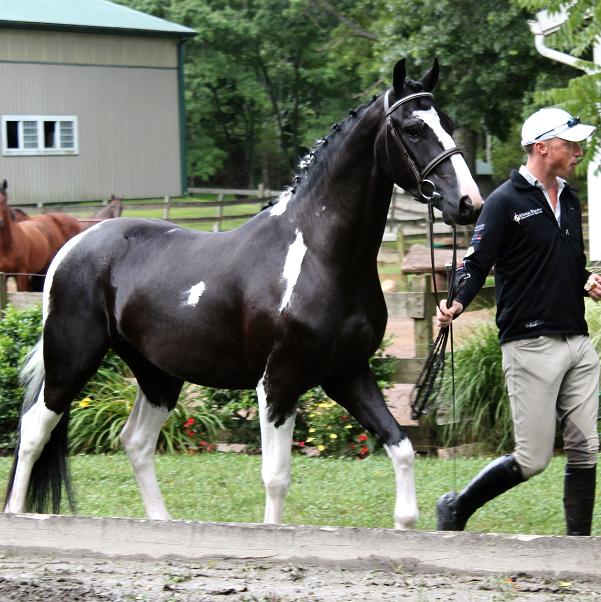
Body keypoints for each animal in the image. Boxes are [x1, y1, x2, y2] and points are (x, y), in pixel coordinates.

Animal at [3, 58, 482, 528]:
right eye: (413, 128)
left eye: (447, 122)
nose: (468, 204)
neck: (318, 256)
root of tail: (73, 245)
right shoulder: (278, 382)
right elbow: (276, 477)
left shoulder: (348, 373)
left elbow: (401, 447)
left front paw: (406, 522)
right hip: (72, 360)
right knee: (34, 431)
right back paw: (20, 513)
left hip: (158, 374)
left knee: (135, 441)